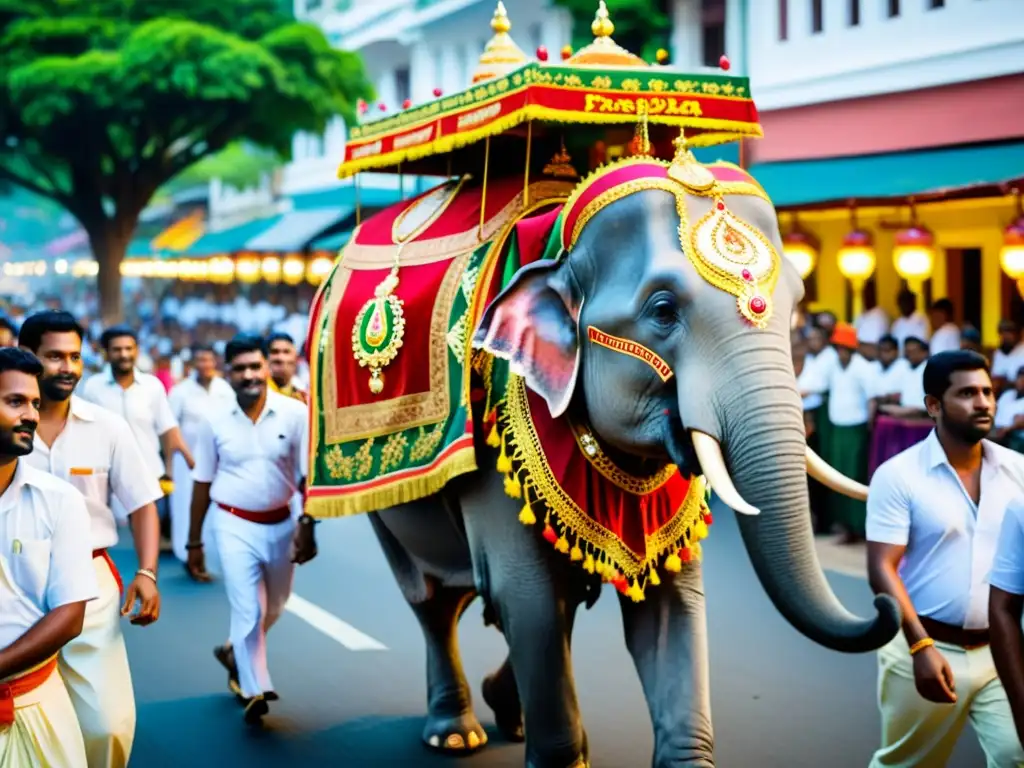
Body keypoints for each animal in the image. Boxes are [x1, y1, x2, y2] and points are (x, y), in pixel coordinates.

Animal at [303, 137, 897, 765]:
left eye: (795, 307)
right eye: (662, 311)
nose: (884, 604)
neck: (553, 244)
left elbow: (670, 603)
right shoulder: (495, 452)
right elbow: (528, 598)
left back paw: (507, 711)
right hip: (371, 497)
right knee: (432, 597)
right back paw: (455, 733)